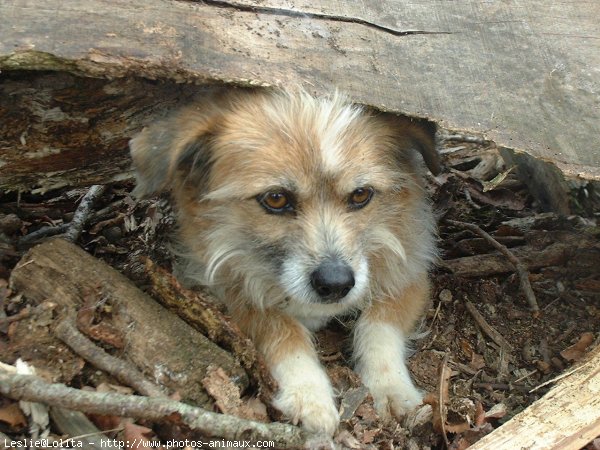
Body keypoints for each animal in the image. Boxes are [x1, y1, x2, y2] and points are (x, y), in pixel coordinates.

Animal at [130, 88, 440, 436]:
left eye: (361, 195)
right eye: (276, 199)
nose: (336, 284)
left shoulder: (411, 274)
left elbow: (380, 324)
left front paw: (391, 385)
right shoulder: (224, 290)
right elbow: (280, 327)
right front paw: (309, 393)